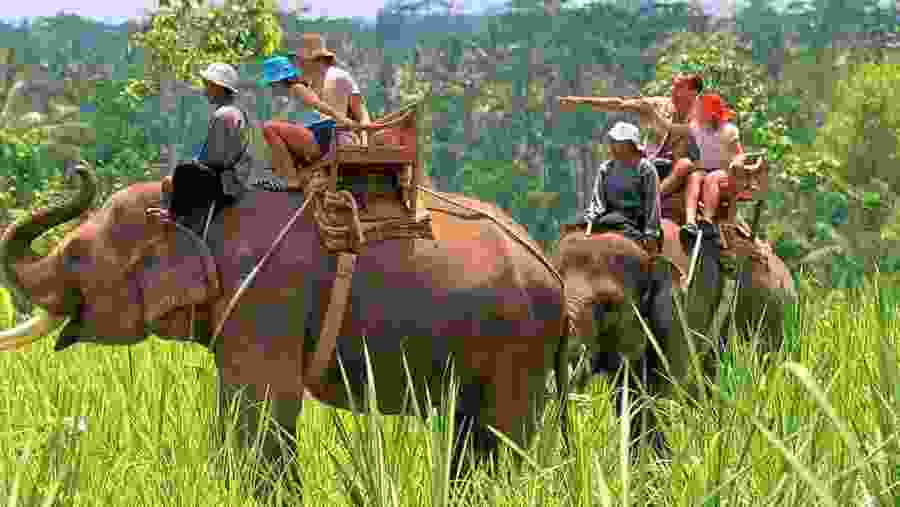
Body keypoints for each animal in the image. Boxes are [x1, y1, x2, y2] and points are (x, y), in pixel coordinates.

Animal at [0, 164, 570, 497]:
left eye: (76, 254)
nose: (79, 169)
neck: (201, 208)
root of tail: (557, 281)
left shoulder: (267, 298)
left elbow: (261, 404)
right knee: (472, 438)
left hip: (518, 346)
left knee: (503, 438)